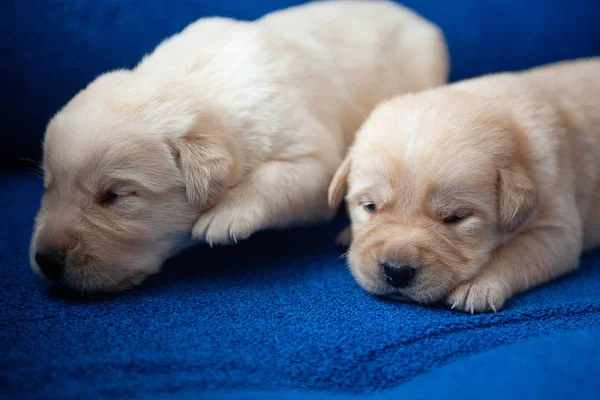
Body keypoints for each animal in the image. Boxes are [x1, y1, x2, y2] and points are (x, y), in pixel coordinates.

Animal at [30, 1, 448, 292]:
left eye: (114, 196)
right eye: (48, 185)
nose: (46, 261)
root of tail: (422, 21)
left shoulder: (312, 153)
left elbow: (284, 177)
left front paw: (225, 216)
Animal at [330, 57, 600, 312]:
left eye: (454, 218)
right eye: (370, 207)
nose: (396, 271)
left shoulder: (556, 228)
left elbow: (515, 251)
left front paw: (478, 286)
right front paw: (348, 233)